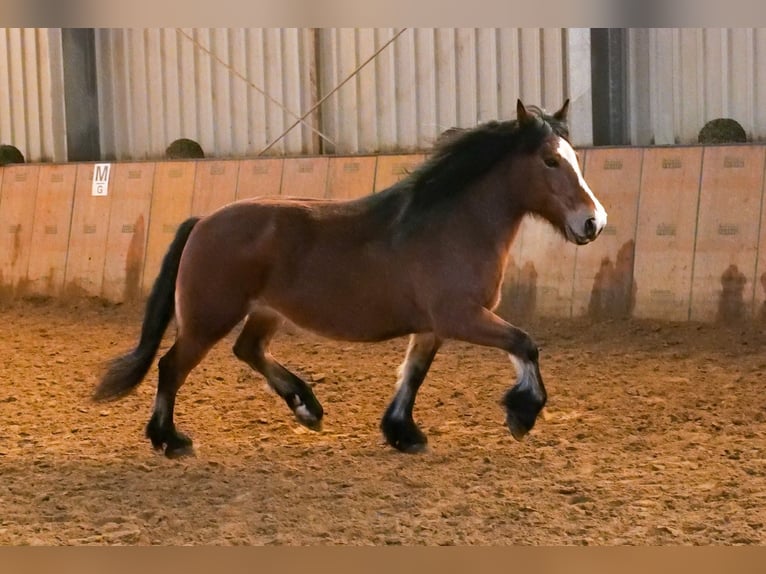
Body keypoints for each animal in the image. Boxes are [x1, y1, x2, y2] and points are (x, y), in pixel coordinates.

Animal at [94, 99, 608, 460]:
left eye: (571, 157)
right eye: (549, 161)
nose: (593, 222)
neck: (452, 224)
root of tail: (203, 220)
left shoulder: (433, 326)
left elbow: (413, 374)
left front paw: (403, 433)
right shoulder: (461, 316)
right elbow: (525, 343)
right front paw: (523, 412)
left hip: (264, 312)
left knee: (248, 350)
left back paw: (307, 406)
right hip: (207, 320)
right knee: (170, 368)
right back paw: (171, 440)